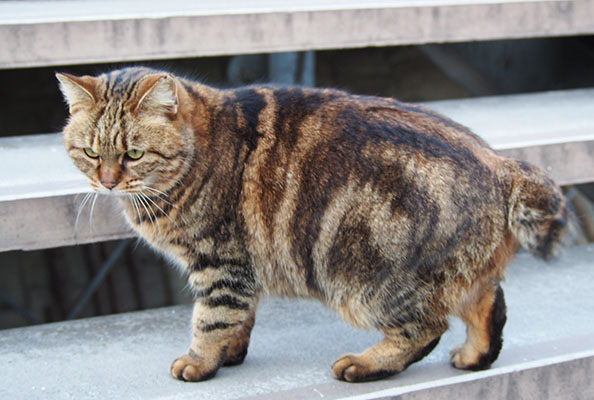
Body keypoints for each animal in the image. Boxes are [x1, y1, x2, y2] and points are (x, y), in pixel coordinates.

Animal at [57, 67, 568, 382]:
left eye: (133, 153)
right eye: (90, 151)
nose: (106, 182)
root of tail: (502, 165)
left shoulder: (221, 265)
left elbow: (211, 320)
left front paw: (201, 363)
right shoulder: (243, 271)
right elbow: (239, 320)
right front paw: (230, 354)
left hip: (367, 283)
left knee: (426, 327)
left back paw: (365, 365)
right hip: (462, 276)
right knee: (488, 305)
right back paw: (474, 356)